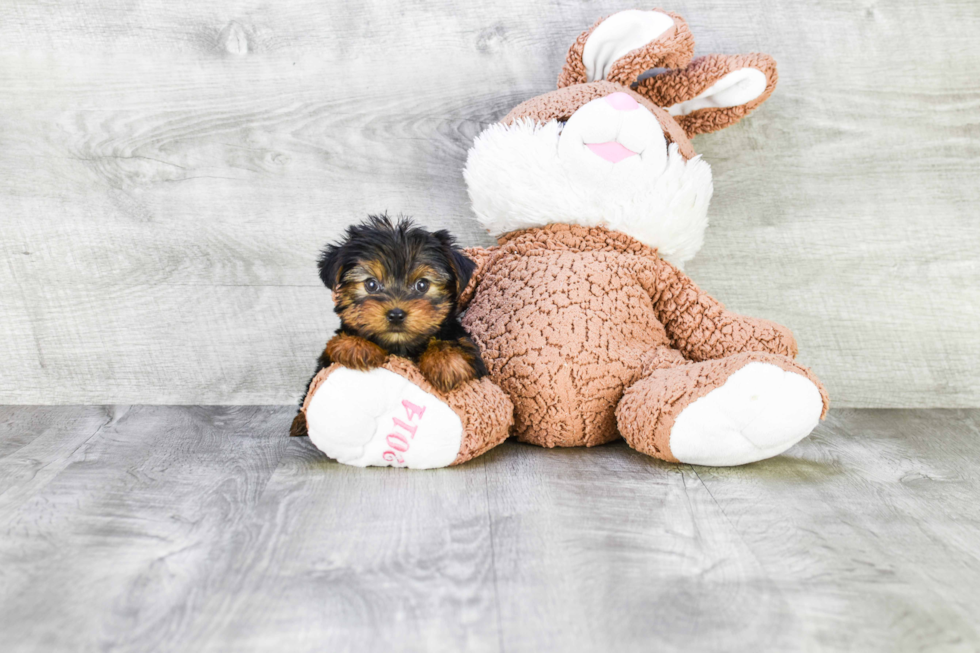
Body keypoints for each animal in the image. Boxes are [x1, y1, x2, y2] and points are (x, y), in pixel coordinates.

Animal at [290, 215, 490, 438]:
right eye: (371, 284)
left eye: (422, 285)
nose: (396, 314)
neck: (400, 347)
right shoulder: (325, 360)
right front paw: (356, 346)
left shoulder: (468, 348)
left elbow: (455, 343)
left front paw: (445, 362)